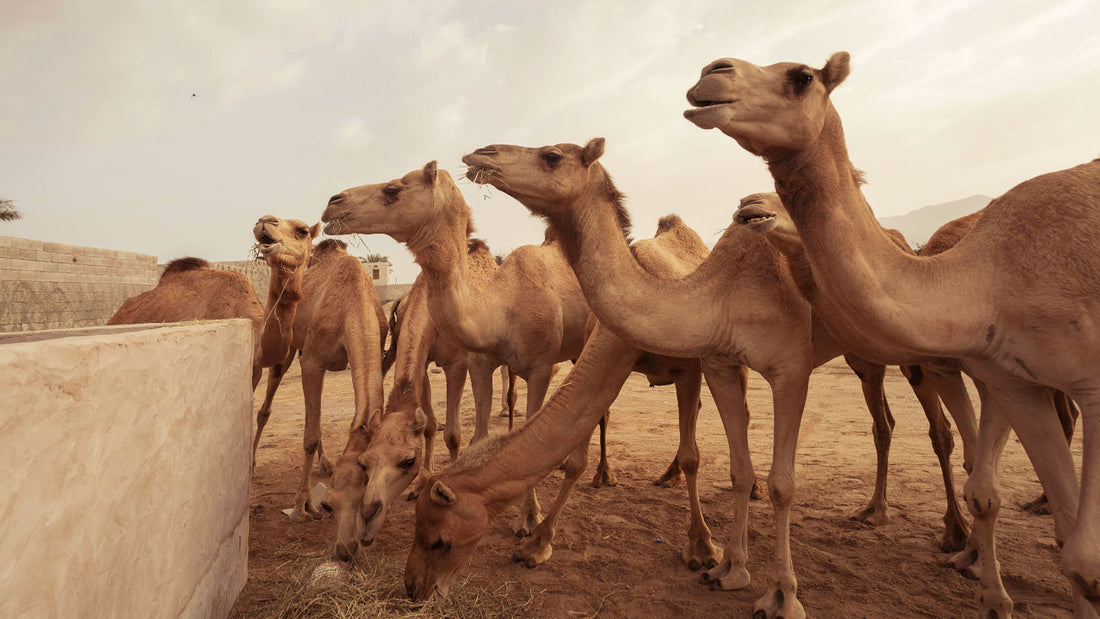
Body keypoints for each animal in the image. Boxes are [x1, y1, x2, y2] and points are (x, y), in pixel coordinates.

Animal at [322, 161, 591, 536]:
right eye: (365, 462)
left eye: (393, 189)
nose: (333, 202)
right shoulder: (458, 363)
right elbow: (446, 430)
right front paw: (429, 485)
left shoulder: (485, 365)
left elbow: (462, 435)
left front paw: (526, 517)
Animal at [684, 51, 1099, 617]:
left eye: (802, 77)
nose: (711, 73)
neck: (984, 277)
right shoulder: (999, 374)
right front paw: (983, 574)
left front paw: (978, 568)